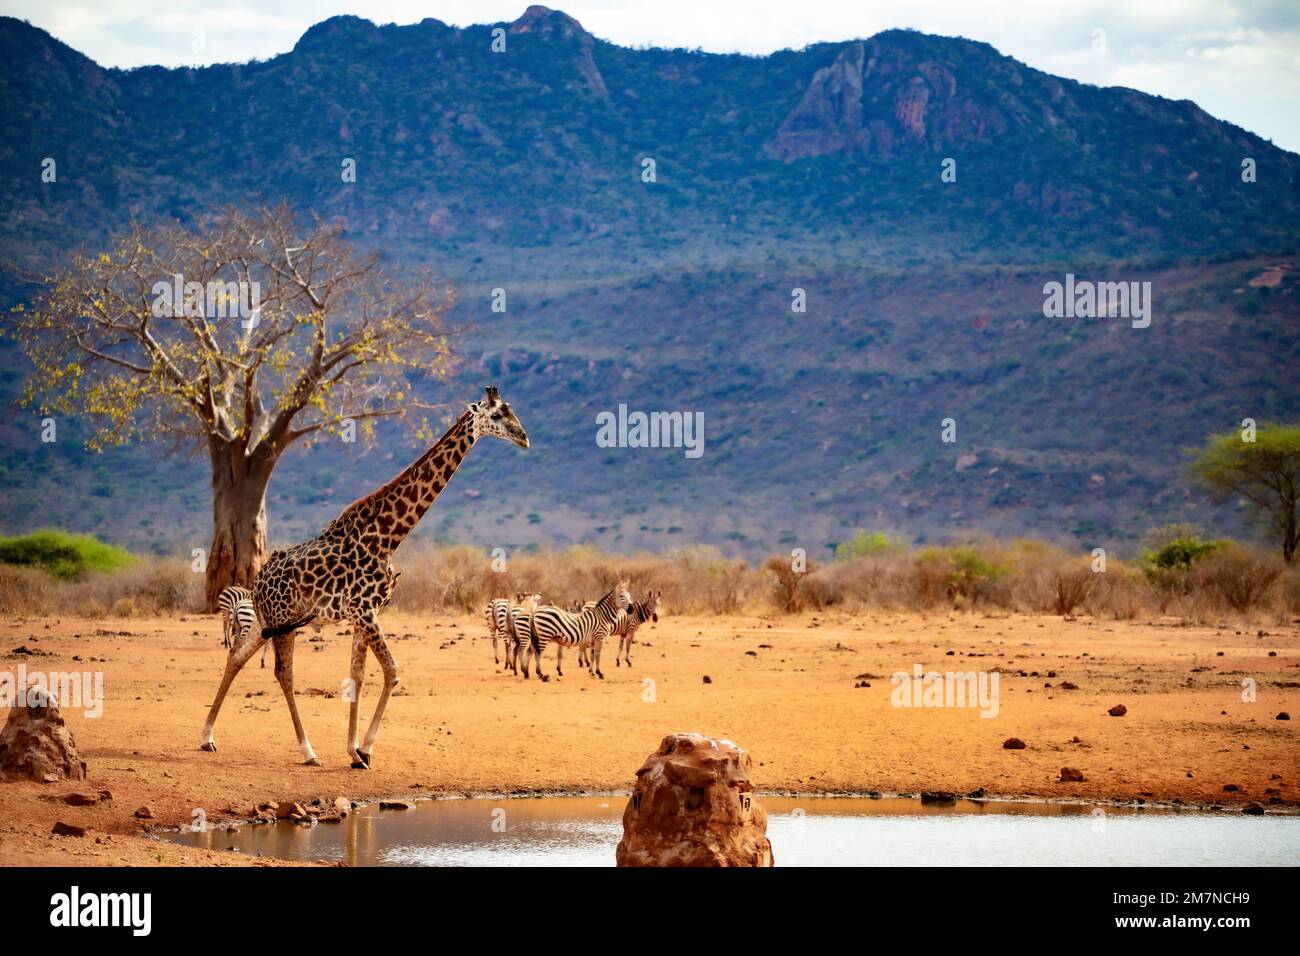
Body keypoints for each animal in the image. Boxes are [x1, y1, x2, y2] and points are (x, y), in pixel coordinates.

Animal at [197, 385, 527, 764]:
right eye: (498, 414)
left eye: (512, 411)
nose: (524, 438)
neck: (389, 535)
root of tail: (258, 580)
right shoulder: (365, 611)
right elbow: (392, 671)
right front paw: (365, 749)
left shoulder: (364, 614)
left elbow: (357, 676)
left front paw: (354, 751)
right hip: (281, 620)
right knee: (283, 672)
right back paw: (307, 750)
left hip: (270, 620)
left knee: (236, 656)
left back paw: (207, 737)